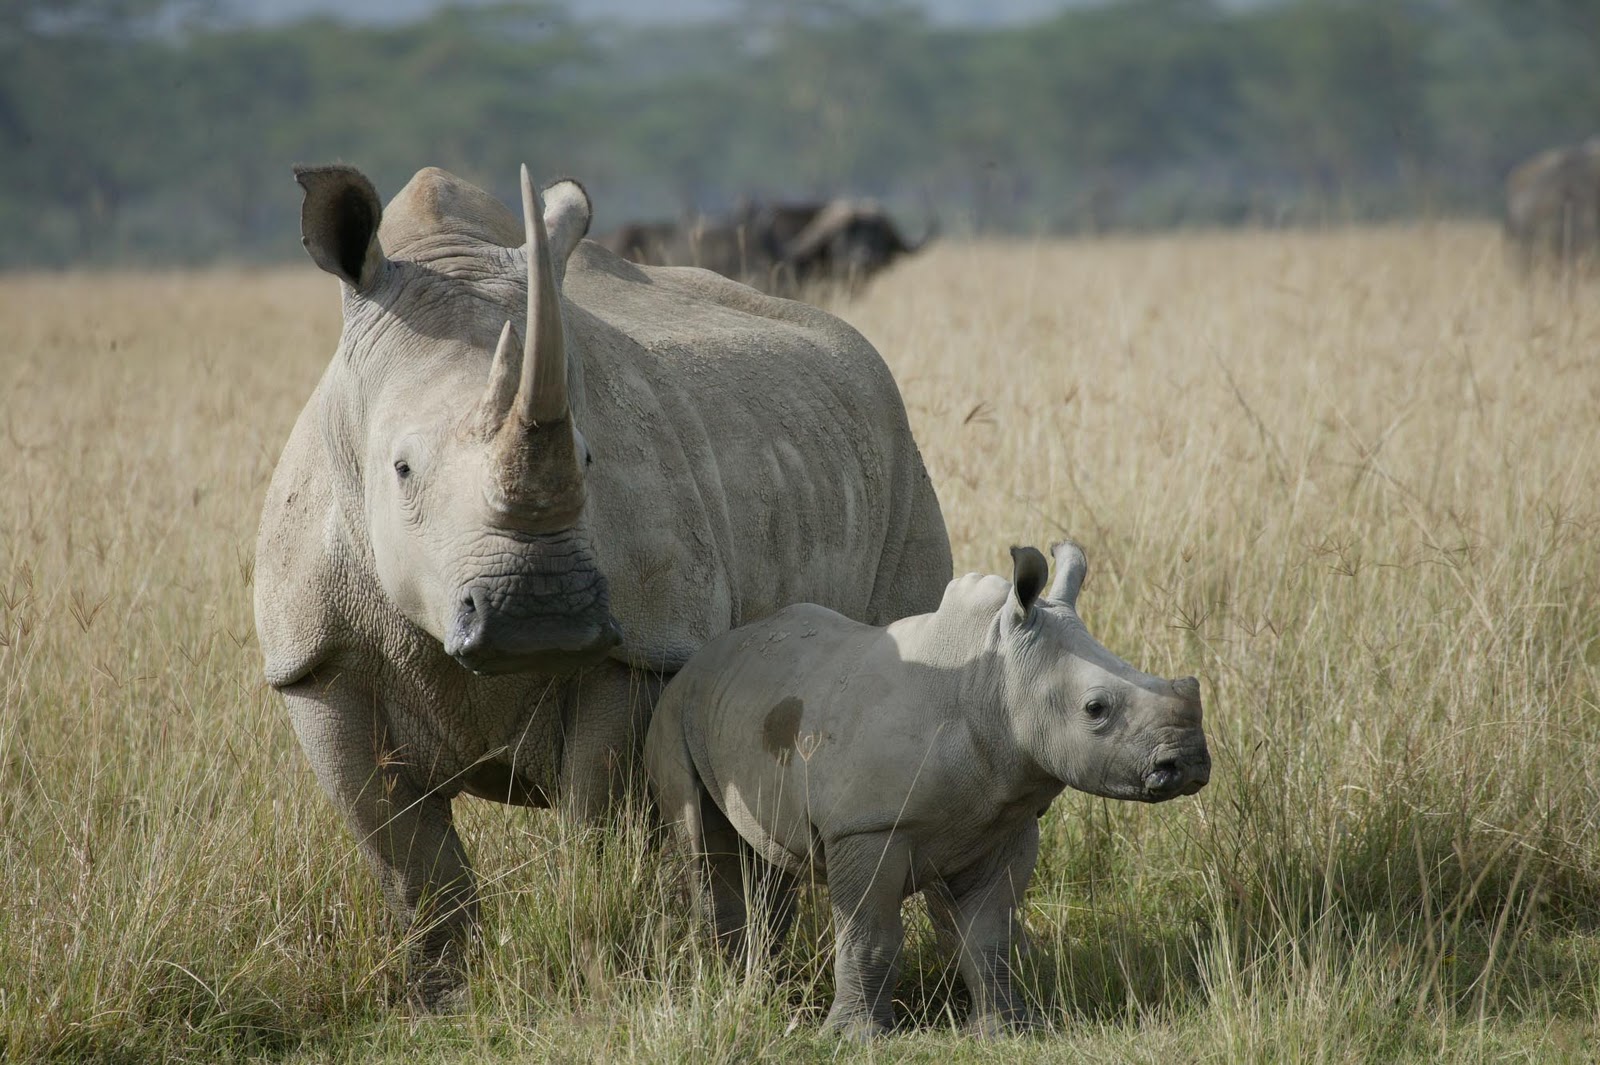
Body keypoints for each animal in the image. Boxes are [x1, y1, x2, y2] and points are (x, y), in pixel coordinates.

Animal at [253, 162, 951, 1005]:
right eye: (402, 469)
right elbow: (406, 858)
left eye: (588, 458)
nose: (539, 617)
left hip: (900, 457)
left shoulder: (640, 644)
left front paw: (597, 960)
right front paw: (438, 997)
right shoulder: (315, 659)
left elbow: (596, 819)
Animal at [644, 541, 1210, 1038]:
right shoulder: (866, 827)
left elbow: (989, 938)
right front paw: (857, 1038)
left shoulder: (1006, 822)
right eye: (1096, 709)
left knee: (767, 860)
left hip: (750, 708)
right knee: (703, 846)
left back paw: (760, 989)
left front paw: (1006, 1030)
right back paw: (731, 991)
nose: (1189, 764)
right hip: (674, 706)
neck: (990, 683)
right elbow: (870, 936)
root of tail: (704, 656)